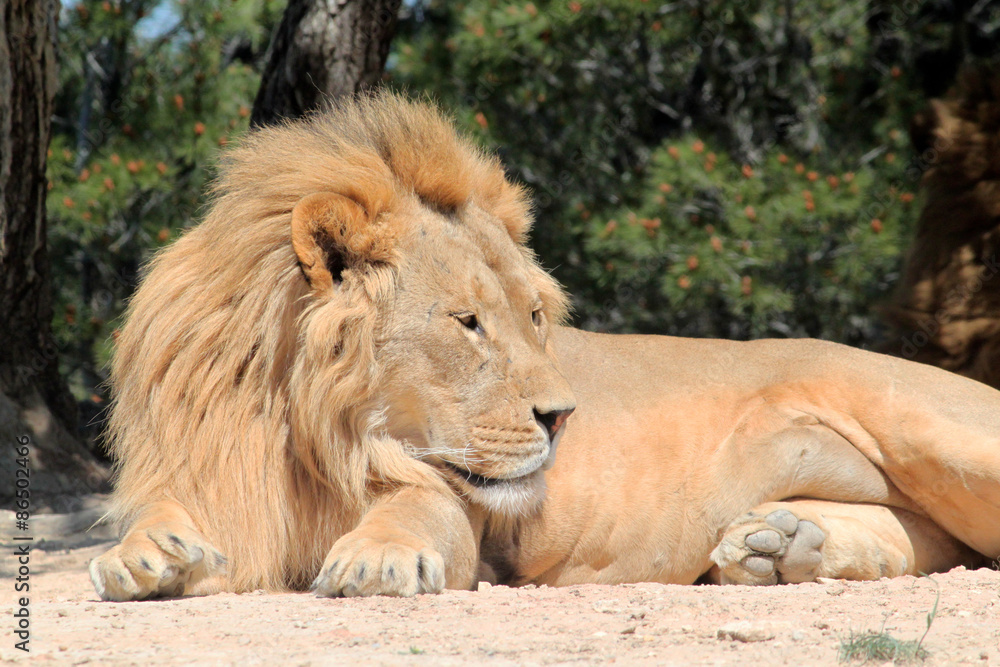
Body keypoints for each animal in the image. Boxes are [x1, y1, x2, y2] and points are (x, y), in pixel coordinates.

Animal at [90, 92, 1000, 601]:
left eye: (533, 315)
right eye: (468, 322)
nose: (565, 418)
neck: (297, 421)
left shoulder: (459, 514)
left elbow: (413, 510)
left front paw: (377, 559)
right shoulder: (204, 472)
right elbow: (160, 520)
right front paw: (144, 558)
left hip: (937, 430)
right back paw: (778, 547)